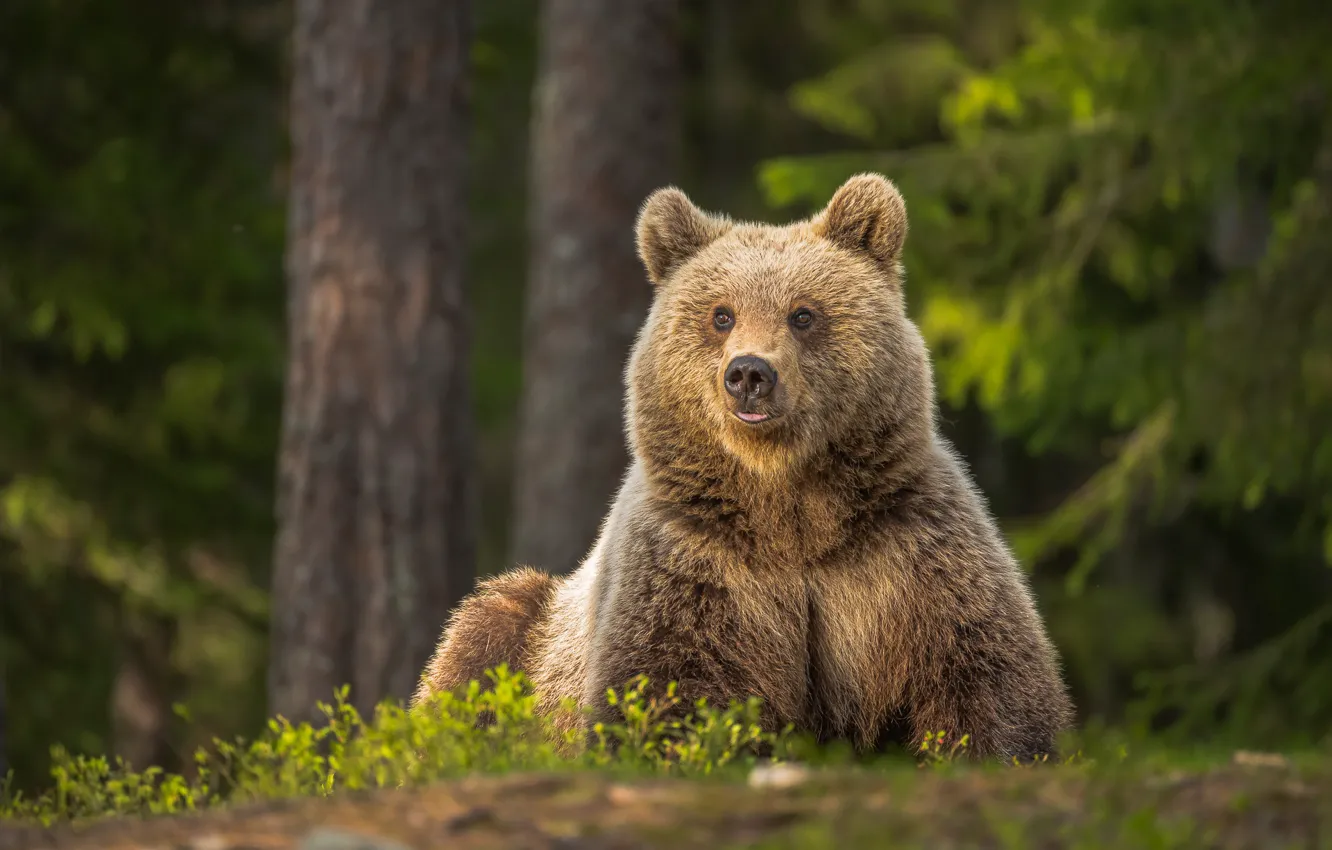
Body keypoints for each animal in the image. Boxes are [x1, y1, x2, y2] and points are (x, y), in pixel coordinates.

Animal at [414, 173, 1075, 762]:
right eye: (721, 314)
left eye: (803, 314)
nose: (750, 373)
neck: (788, 510)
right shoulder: (696, 565)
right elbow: (664, 691)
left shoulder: (906, 552)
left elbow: (985, 675)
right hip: (534, 635)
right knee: (477, 643)